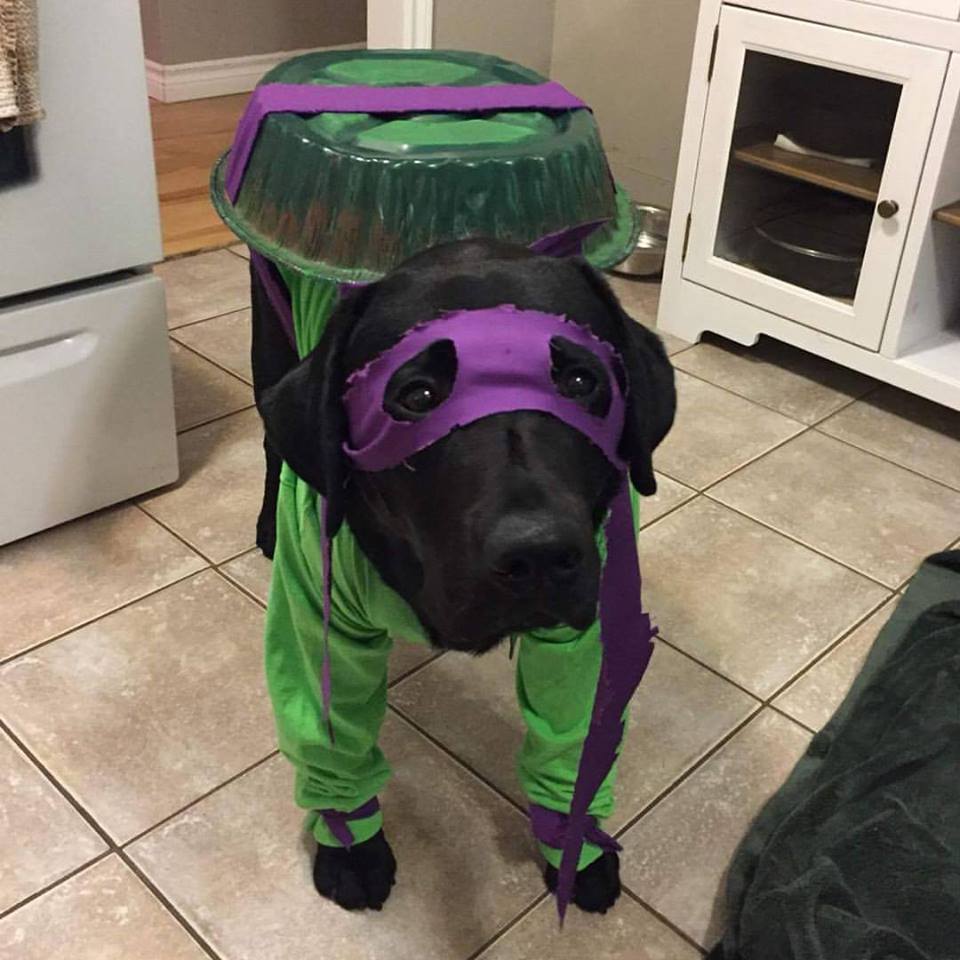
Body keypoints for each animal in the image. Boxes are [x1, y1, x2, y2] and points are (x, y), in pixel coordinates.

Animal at [251, 236, 680, 912]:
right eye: (418, 397)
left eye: (581, 381)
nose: (538, 555)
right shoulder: (317, 620)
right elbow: (331, 740)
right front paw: (351, 848)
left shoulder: (586, 634)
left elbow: (573, 747)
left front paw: (576, 852)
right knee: (272, 443)